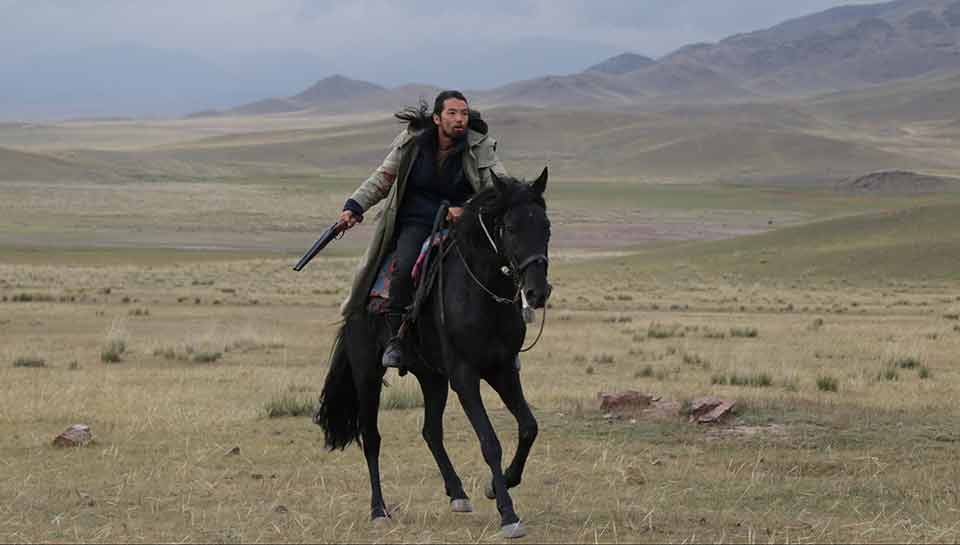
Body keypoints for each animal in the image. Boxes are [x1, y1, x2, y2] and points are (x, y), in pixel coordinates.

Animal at [316, 168, 552, 536]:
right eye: (512, 228)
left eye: (546, 227)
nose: (538, 292)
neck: (481, 293)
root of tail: (355, 302)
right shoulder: (465, 376)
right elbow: (490, 442)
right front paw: (508, 513)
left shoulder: (502, 370)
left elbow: (529, 427)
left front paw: (497, 485)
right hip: (368, 373)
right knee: (371, 437)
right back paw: (379, 509)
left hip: (432, 378)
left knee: (431, 431)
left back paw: (457, 493)